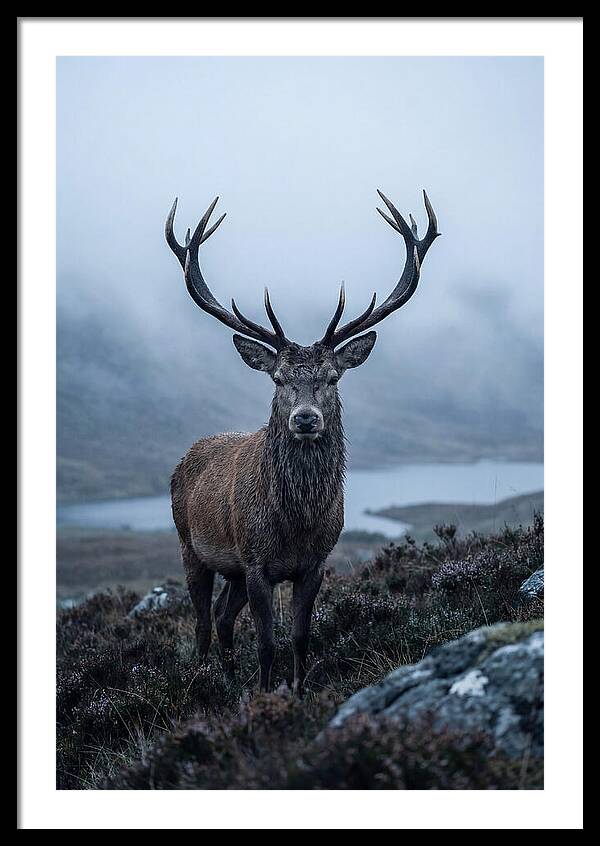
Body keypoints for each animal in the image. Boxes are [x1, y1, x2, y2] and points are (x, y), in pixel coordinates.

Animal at [165, 188, 439, 695]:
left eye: (332, 377)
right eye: (278, 379)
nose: (306, 419)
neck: (295, 523)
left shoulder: (314, 563)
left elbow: (299, 636)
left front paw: (296, 690)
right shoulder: (256, 562)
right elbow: (266, 642)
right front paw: (264, 693)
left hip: (231, 568)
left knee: (222, 616)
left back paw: (229, 678)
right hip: (190, 546)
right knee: (201, 621)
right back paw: (203, 678)